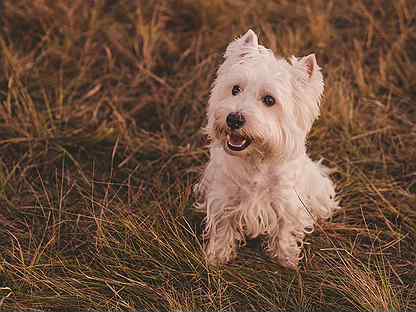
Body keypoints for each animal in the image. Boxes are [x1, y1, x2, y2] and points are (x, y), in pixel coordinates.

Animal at [195, 29, 338, 268]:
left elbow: (285, 229)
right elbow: (223, 226)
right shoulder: (224, 196)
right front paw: (217, 256)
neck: (256, 159)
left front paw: (286, 259)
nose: (233, 118)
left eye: (269, 100)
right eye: (235, 89)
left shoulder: (287, 202)